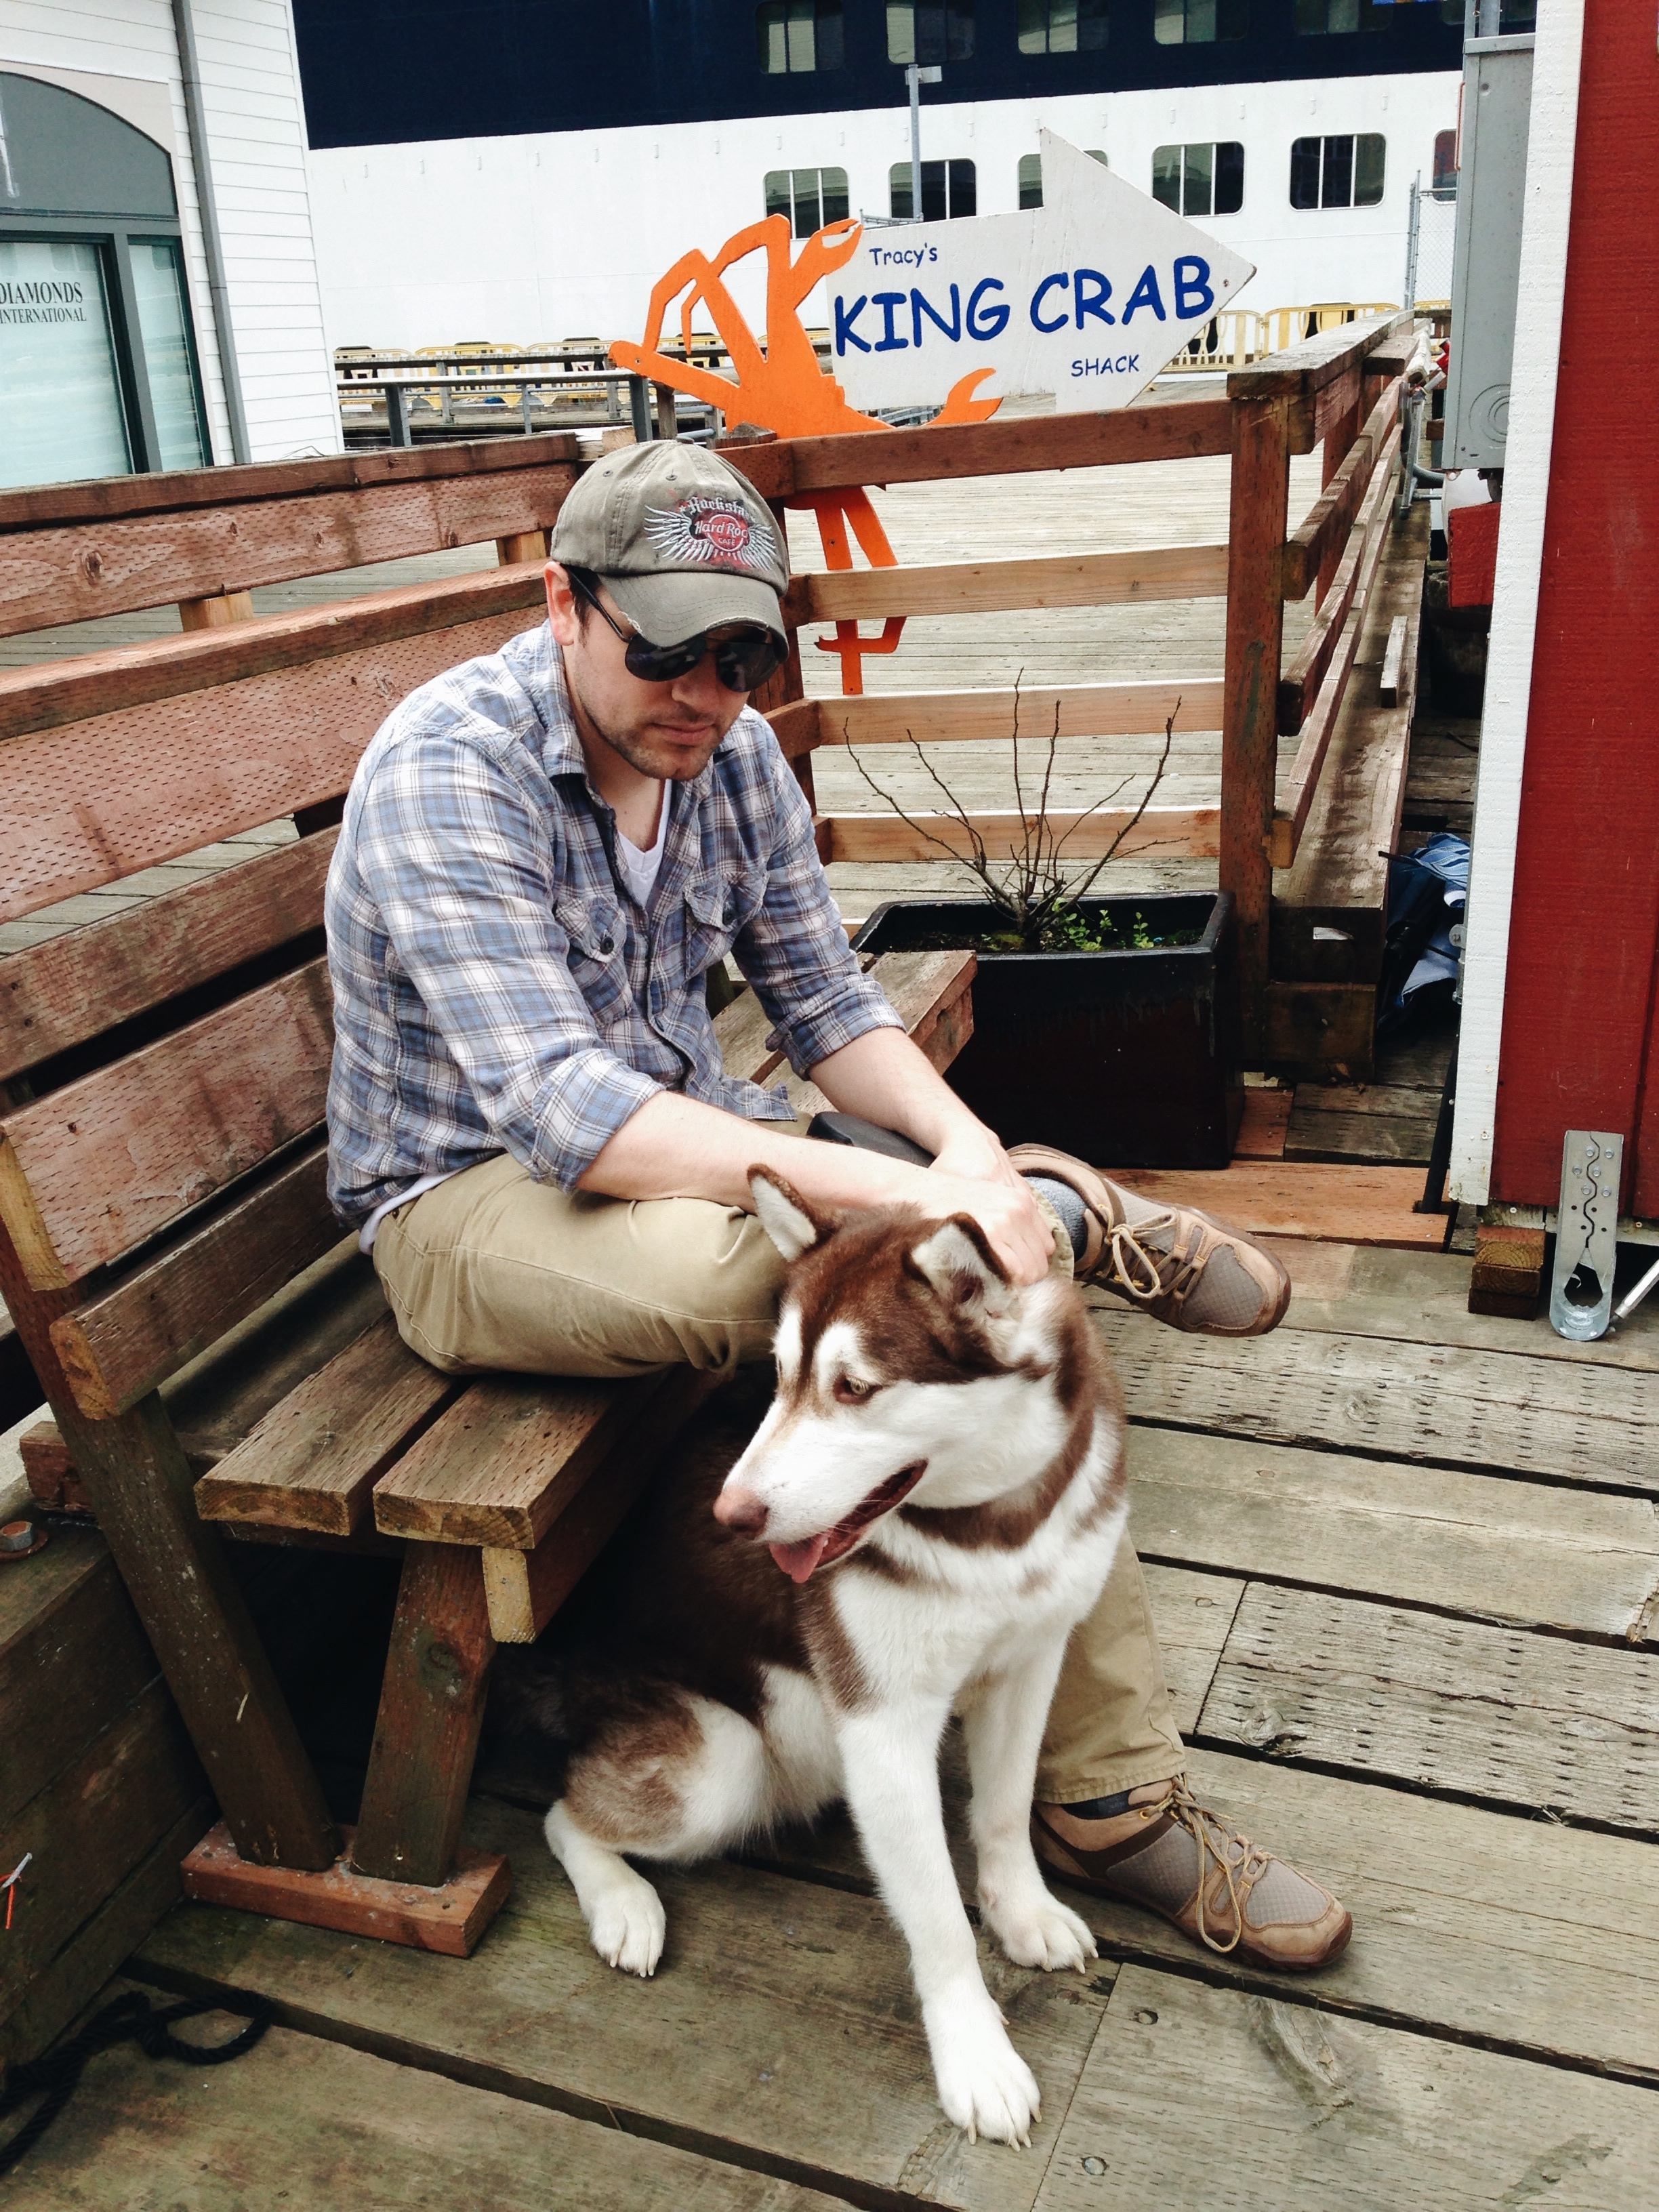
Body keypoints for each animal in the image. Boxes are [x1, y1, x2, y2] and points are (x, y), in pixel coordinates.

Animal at [504, 1168, 1132, 2150]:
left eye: (854, 1387)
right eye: (780, 1374)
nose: (733, 1516)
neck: (991, 1529)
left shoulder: (1031, 1660)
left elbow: (1001, 1812)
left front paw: (1021, 1911)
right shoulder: (881, 1725)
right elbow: (938, 1920)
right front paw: (976, 2057)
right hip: (717, 1762)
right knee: (563, 1816)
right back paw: (623, 1903)